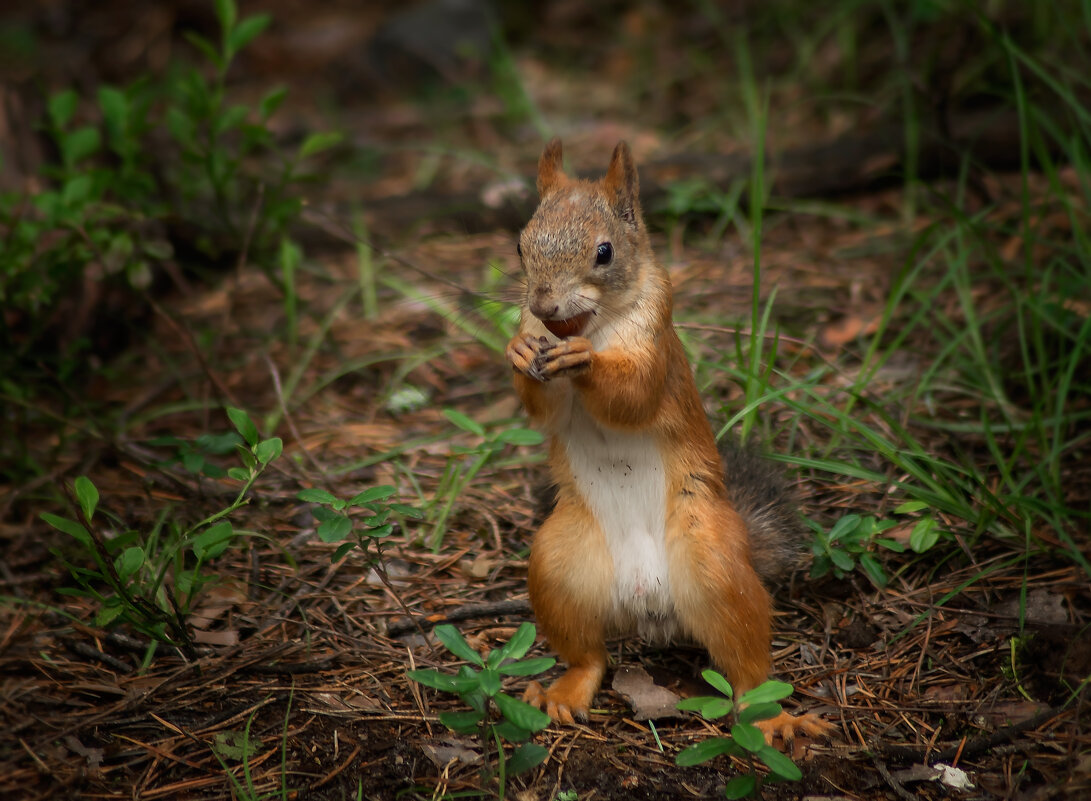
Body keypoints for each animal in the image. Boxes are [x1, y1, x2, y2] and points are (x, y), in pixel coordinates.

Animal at [506, 139, 829, 746]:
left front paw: (586, 362)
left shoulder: (655, 339)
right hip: (557, 566)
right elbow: (545, 409)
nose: (543, 306)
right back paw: (563, 694)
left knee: (748, 671)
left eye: (604, 252)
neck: (594, 326)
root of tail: (649, 606)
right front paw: (517, 350)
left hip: (715, 563)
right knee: (590, 657)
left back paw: (775, 718)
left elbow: (632, 394)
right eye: (520, 244)